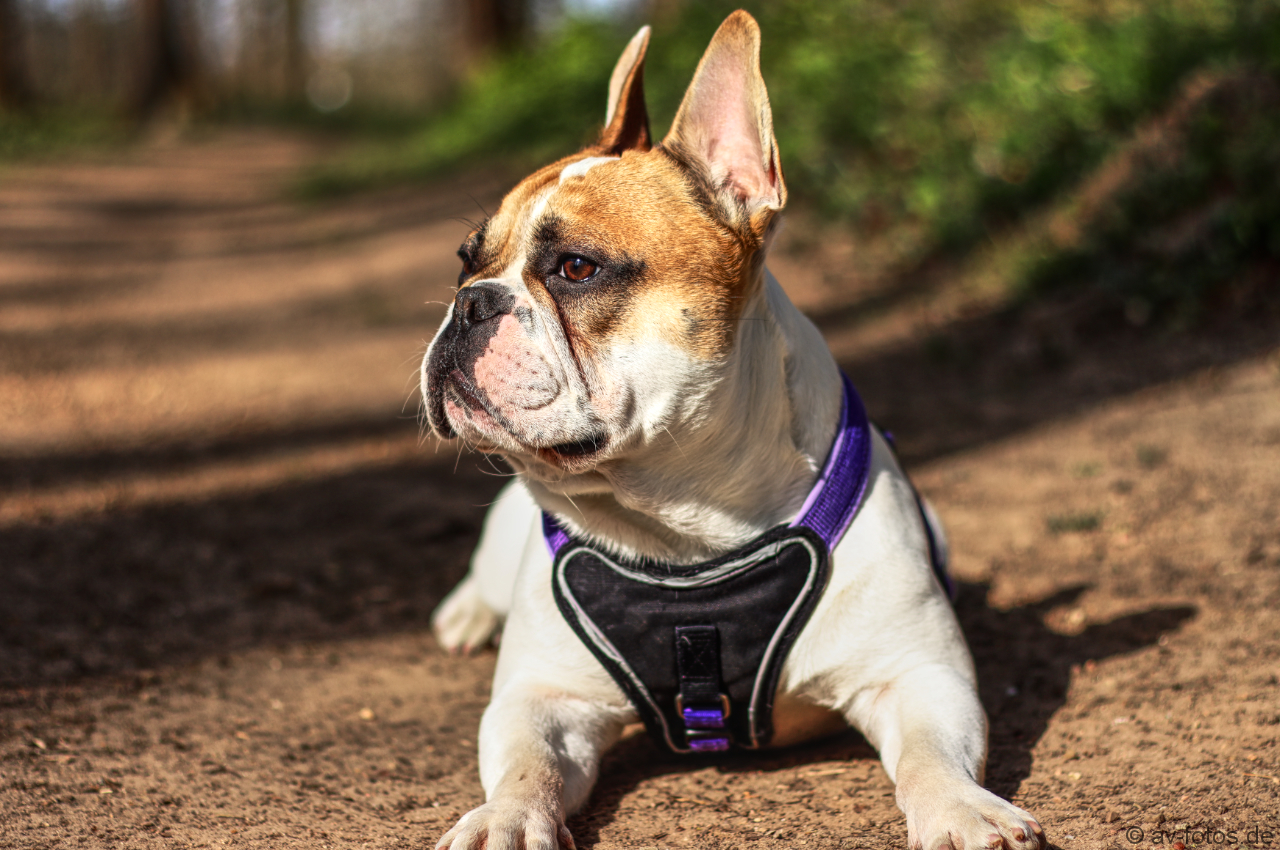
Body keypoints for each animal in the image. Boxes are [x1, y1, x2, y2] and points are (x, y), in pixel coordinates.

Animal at [424, 11, 1044, 850]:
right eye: (466, 261)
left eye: (577, 268)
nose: (469, 303)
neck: (686, 531)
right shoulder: (543, 697)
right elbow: (526, 764)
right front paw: (503, 819)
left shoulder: (919, 674)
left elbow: (930, 755)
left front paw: (960, 809)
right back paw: (464, 613)